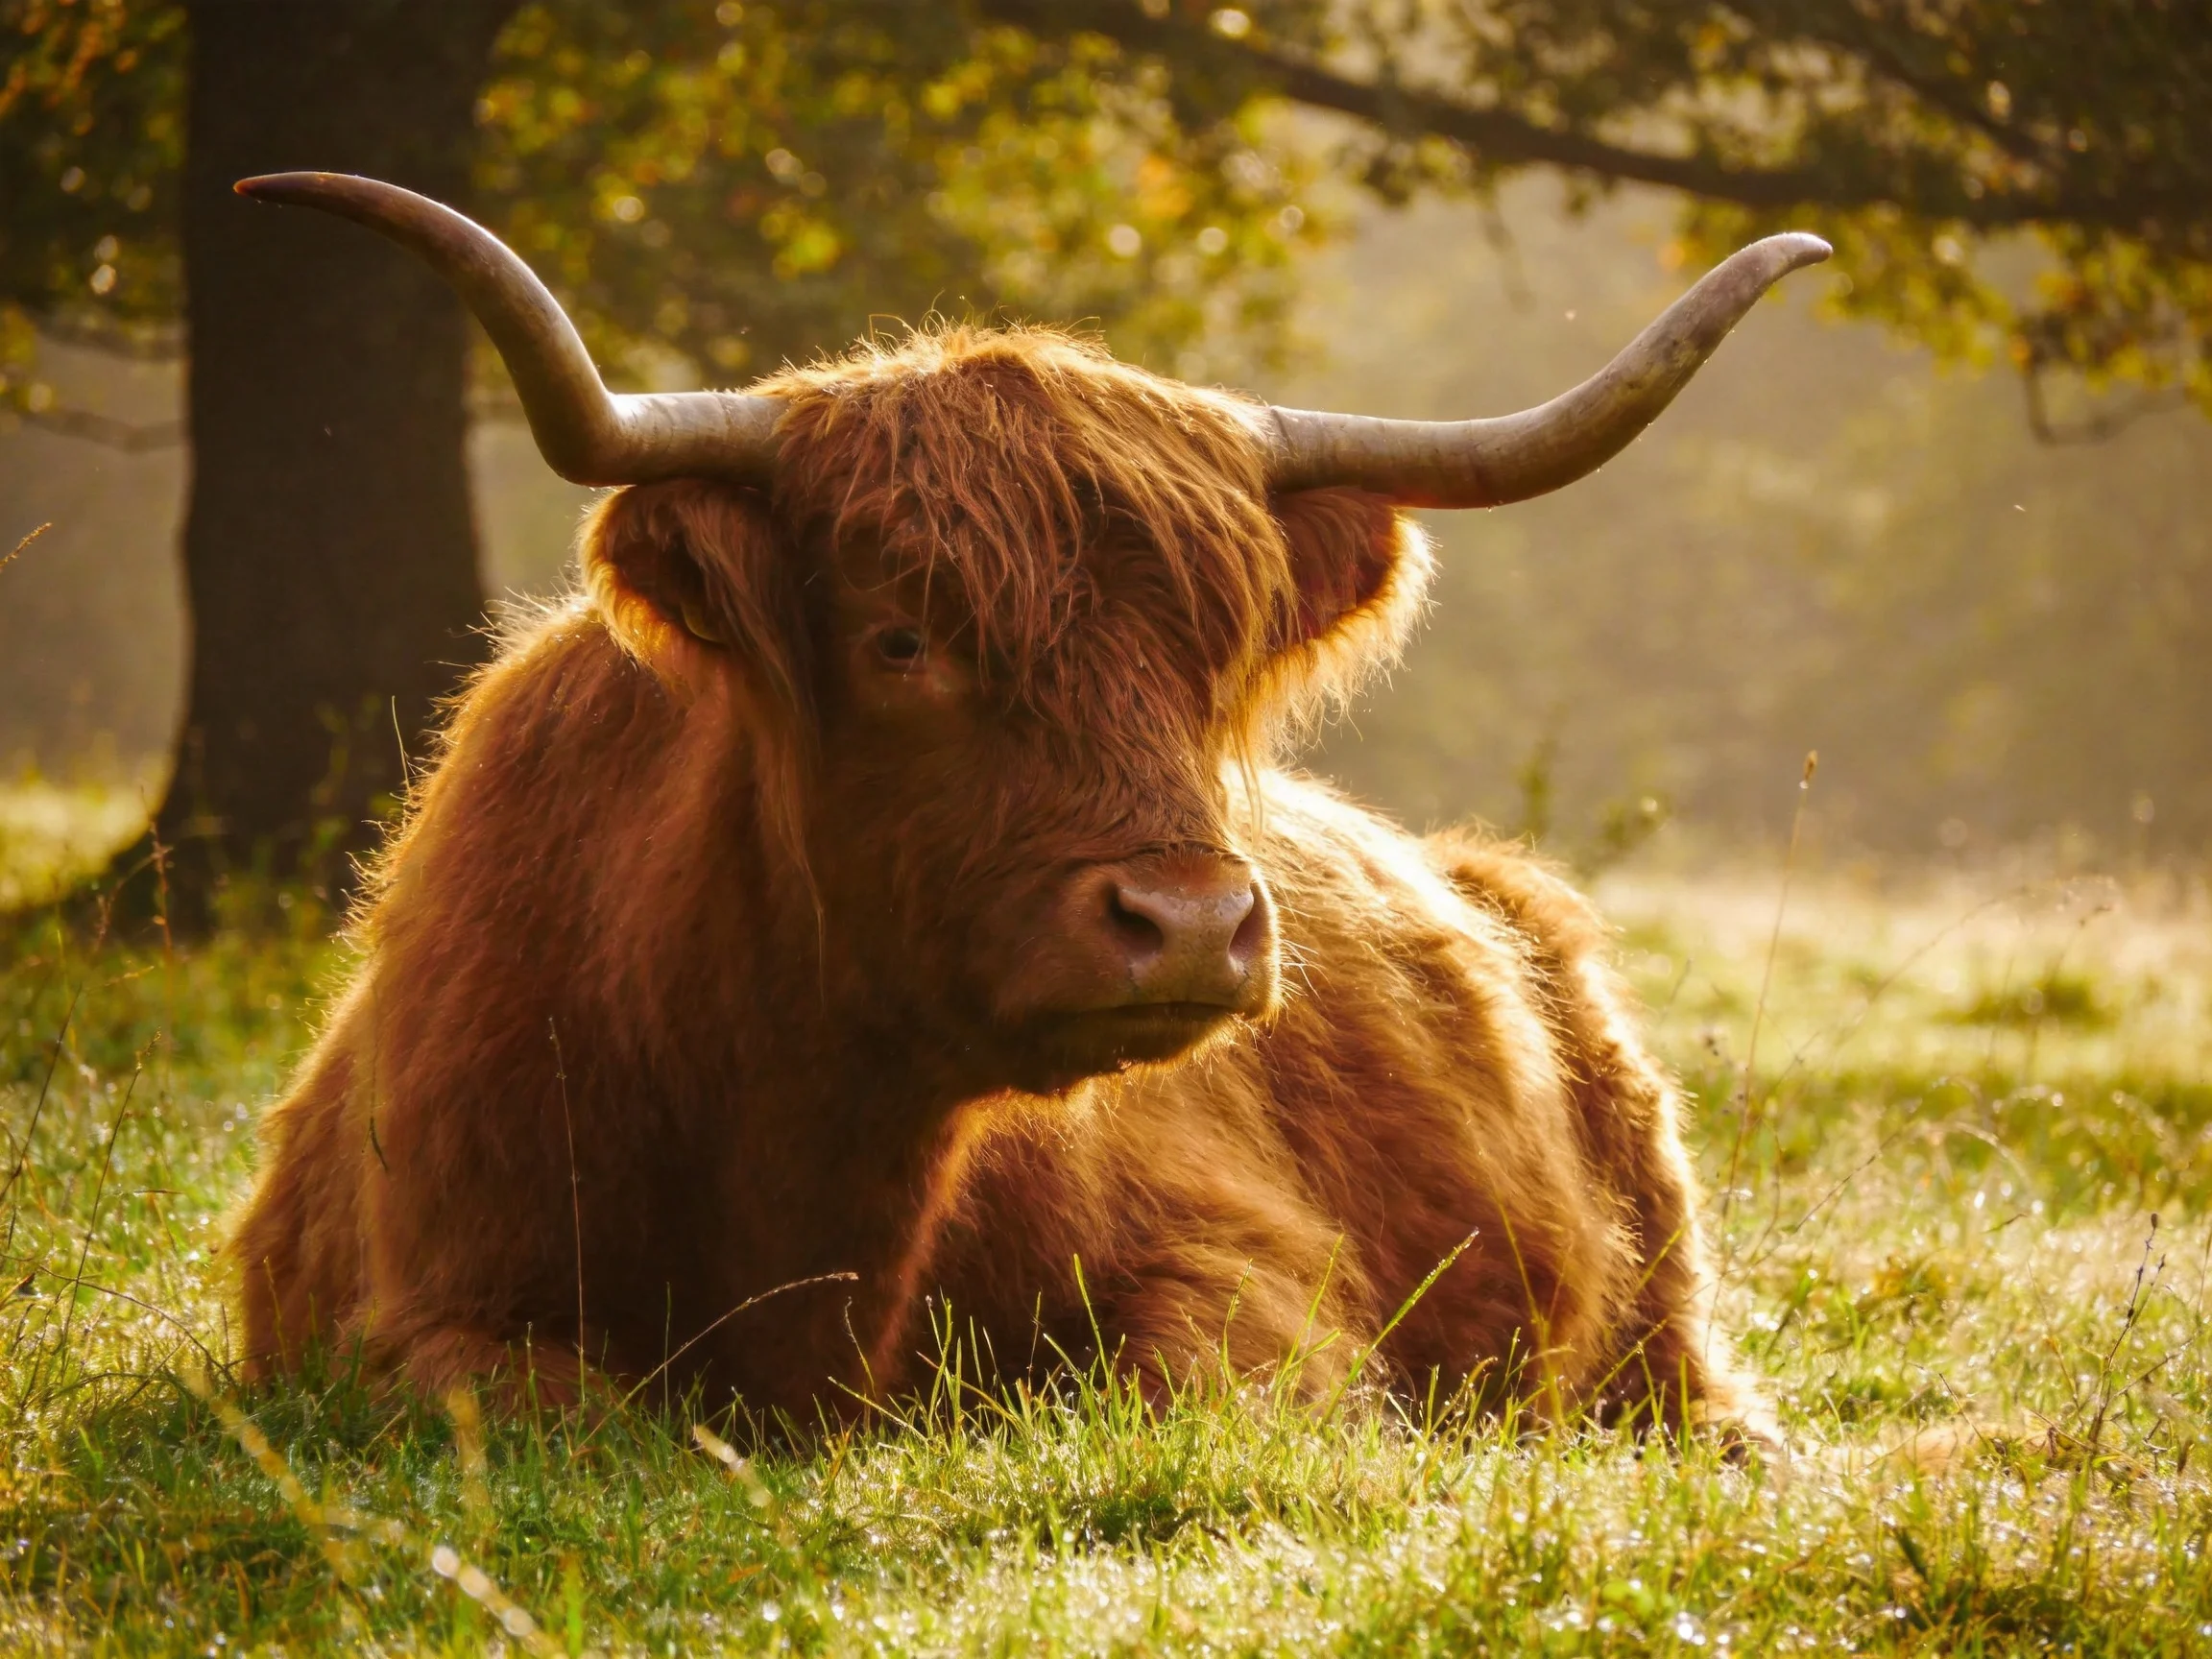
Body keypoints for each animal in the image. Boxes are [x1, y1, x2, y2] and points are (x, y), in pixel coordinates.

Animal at [224, 172, 1826, 1443]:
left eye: (1211, 658)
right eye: (900, 639)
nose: (1190, 924)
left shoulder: (1248, 1262)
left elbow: (1179, 1389)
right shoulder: (415, 1308)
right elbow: (542, 1408)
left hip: (1660, 1306)